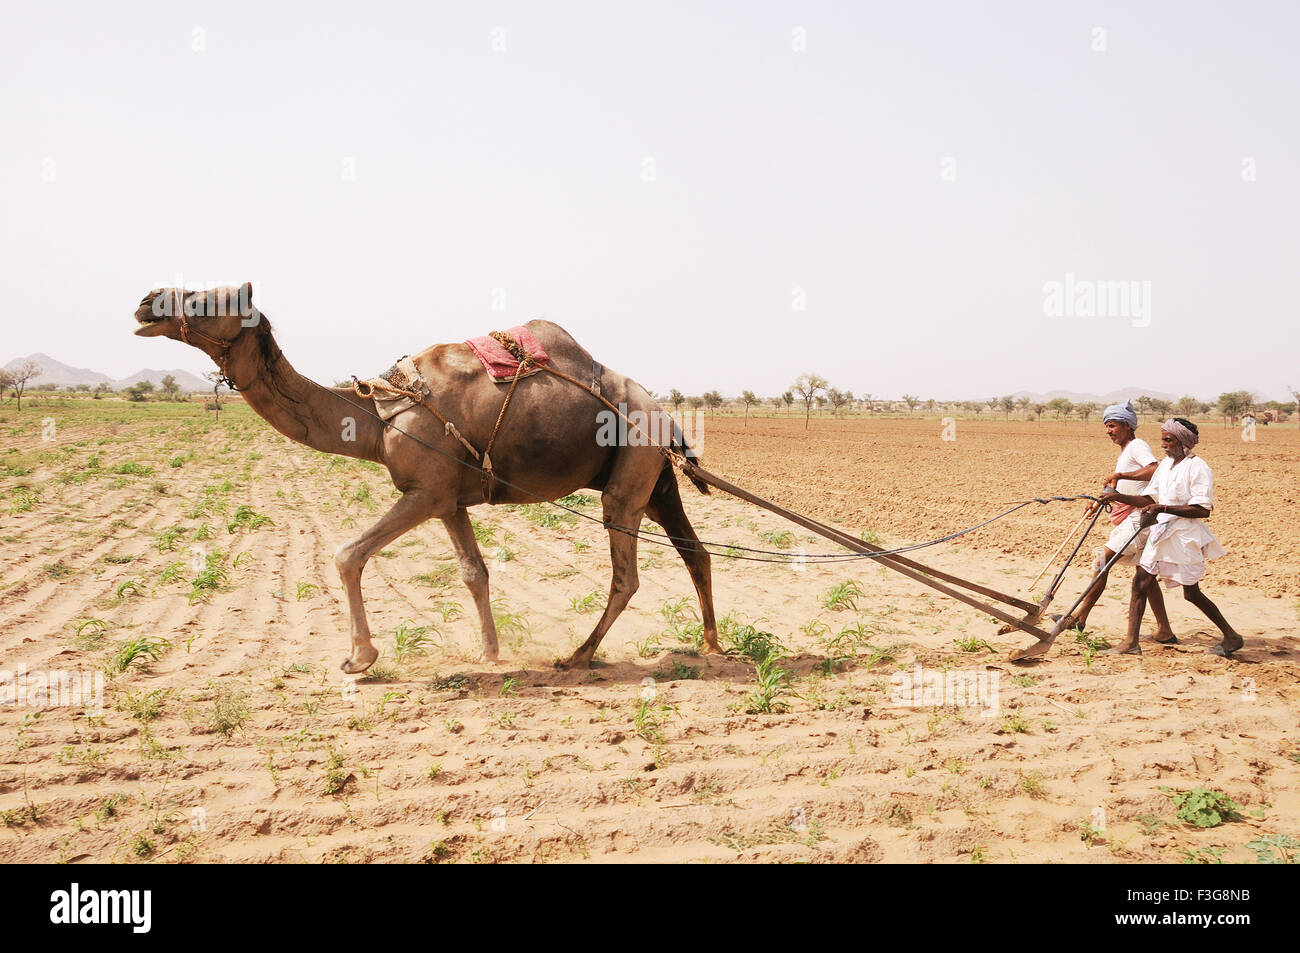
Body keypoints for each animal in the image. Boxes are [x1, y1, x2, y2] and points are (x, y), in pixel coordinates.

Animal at [134, 282, 722, 670]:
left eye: (203, 300)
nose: (145, 302)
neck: (377, 417)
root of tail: (663, 414)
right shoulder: (450, 500)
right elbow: (474, 573)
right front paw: (490, 652)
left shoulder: (423, 491)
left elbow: (347, 555)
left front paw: (360, 658)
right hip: (653, 478)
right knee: (695, 551)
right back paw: (713, 644)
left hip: (628, 474)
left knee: (627, 575)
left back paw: (578, 655)